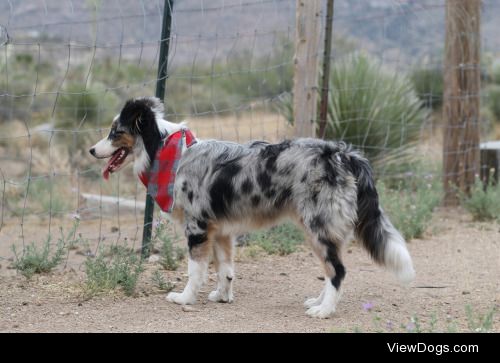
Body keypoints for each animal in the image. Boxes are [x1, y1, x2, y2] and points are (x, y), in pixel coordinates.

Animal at [89, 96, 414, 318]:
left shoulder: (197, 228)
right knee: (331, 269)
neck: (172, 153)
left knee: (338, 271)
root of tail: (342, 154)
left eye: (115, 131)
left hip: (319, 228)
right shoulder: (220, 231)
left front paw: (184, 298)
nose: (92, 150)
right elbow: (225, 269)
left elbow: (195, 270)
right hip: (316, 230)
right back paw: (318, 302)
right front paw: (222, 296)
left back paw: (324, 311)